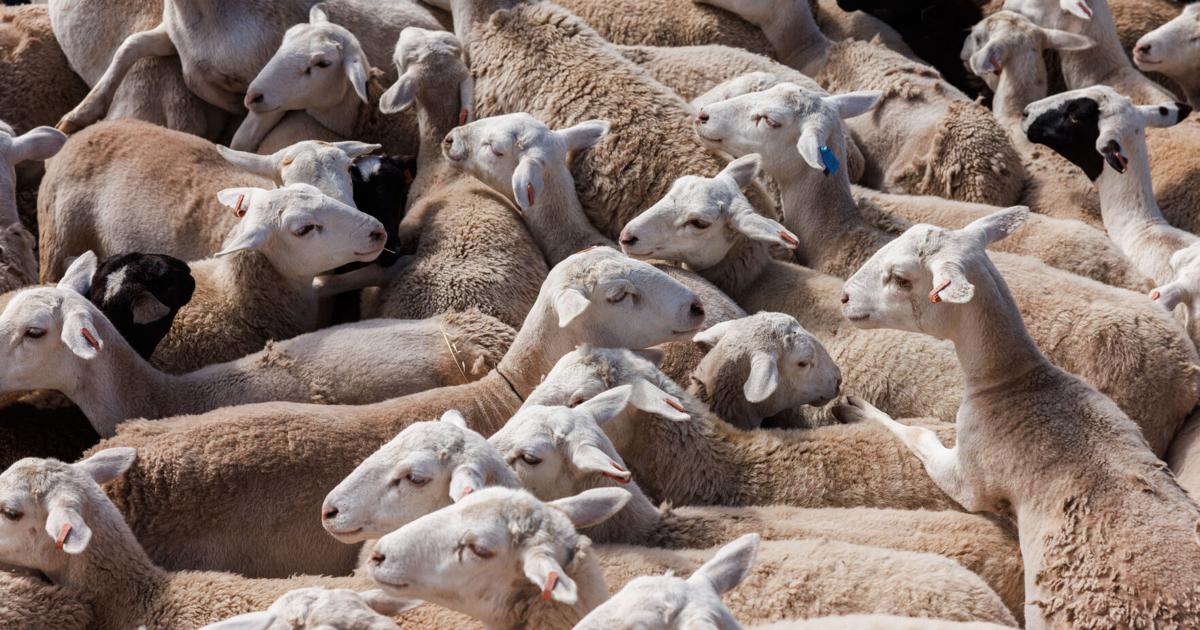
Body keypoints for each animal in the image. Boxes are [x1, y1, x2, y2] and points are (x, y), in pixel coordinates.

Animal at [837, 206, 1200, 628]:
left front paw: (856, 406)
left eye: (900, 278)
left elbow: (918, 435)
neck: (1014, 380)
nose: (844, 296)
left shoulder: (969, 478)